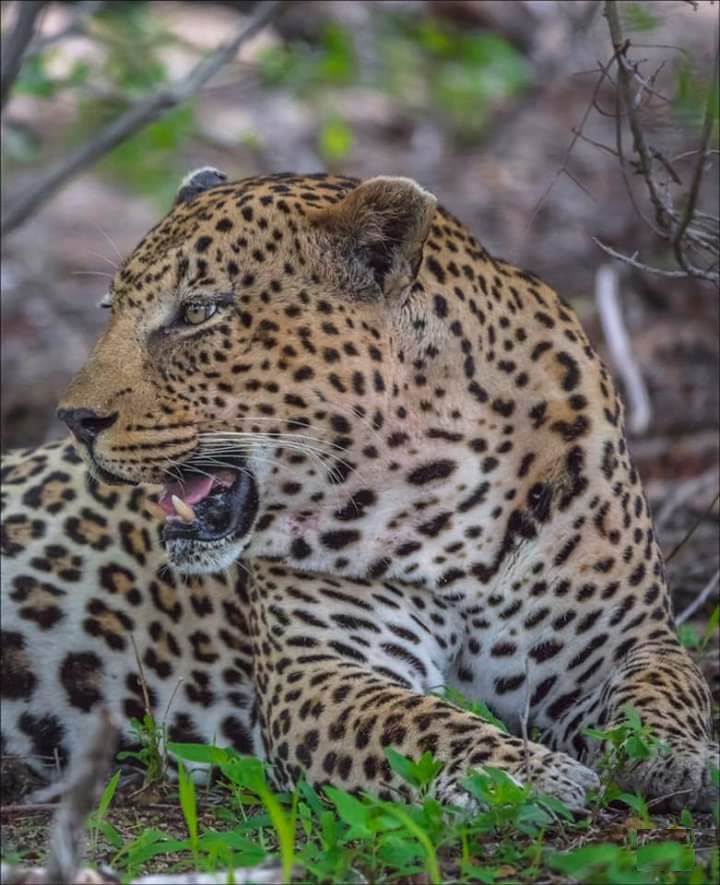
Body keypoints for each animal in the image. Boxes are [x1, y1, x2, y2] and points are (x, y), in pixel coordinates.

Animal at [2, 169, 717, 813]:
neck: (448, 489)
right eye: (111, 312)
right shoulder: (318, 670)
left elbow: (666, 689)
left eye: (199, 311)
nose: (75, 420)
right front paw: (524, 774)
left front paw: (682, 759)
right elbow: (421, 722)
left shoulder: (629, 640)